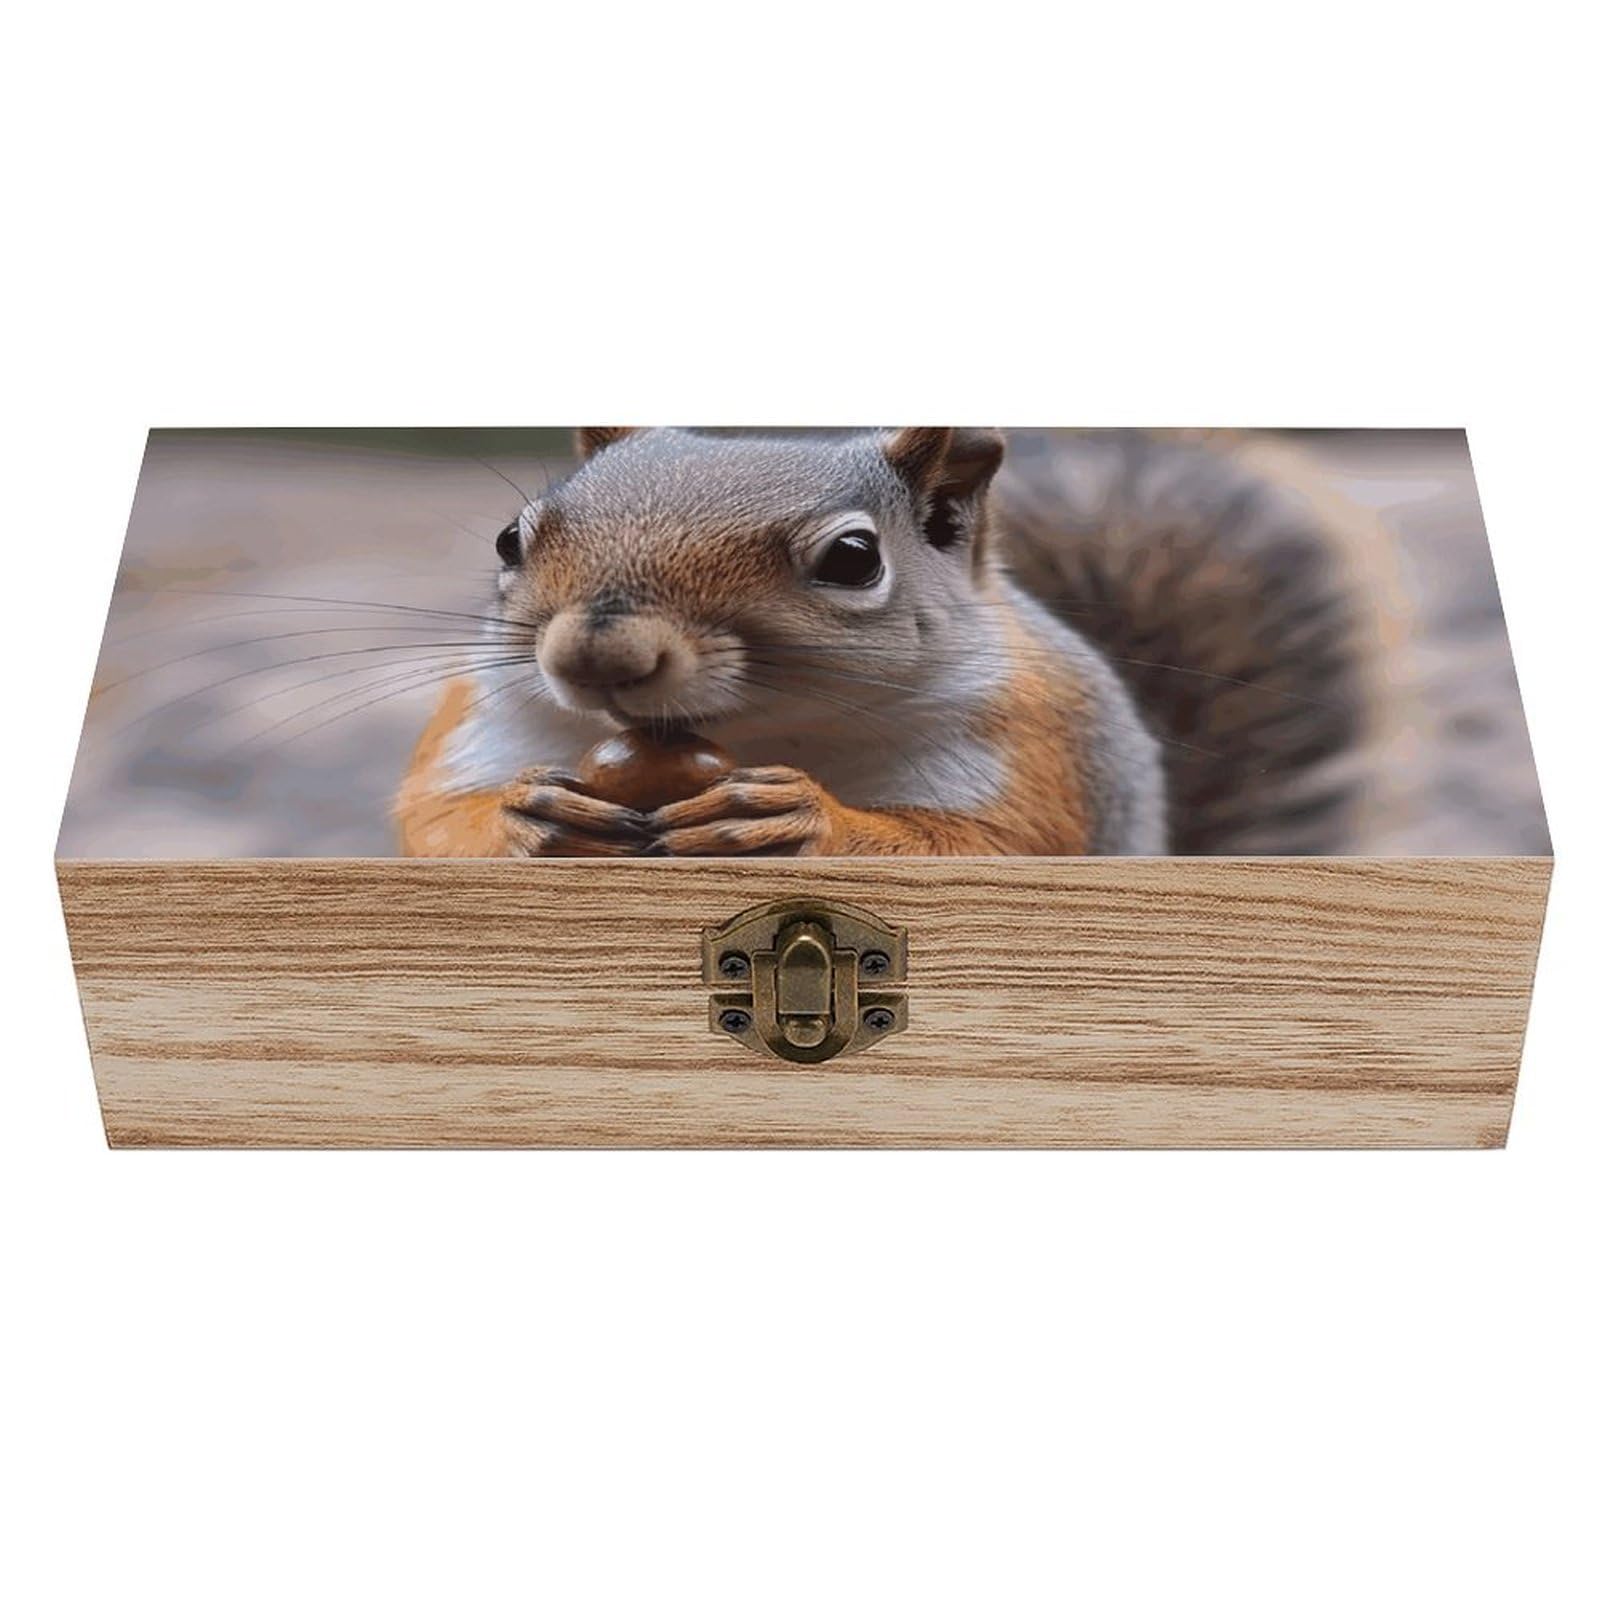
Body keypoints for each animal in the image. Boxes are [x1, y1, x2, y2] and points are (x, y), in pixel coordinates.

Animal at [395, 427, 1367, 858]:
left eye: (854, 559)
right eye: (509, 539)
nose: (595, 657)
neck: (770, 727)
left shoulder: (1030, 744)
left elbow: (985, 849)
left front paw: (800, 817)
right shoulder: (488, 717)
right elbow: (436, 822)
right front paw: (525, 812)